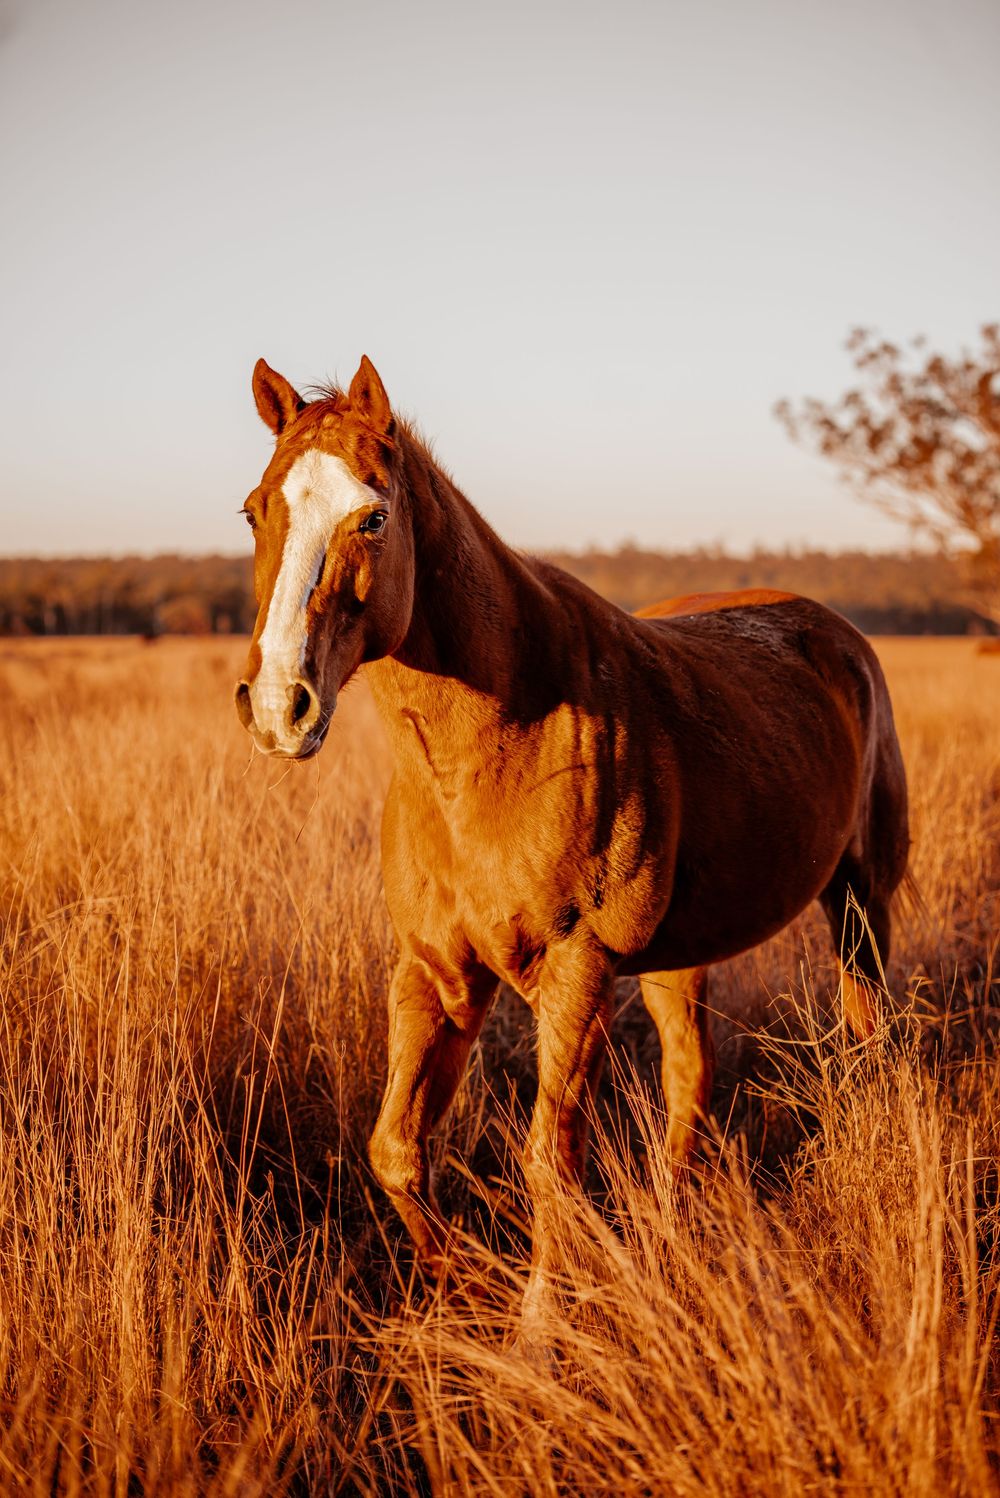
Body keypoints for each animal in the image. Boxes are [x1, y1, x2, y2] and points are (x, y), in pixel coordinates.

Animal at [235, 354, 910, 1317]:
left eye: (373, 516)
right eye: (256, 511)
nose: (278, 707)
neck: (496, 746)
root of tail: (835, 633)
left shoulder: (578, 969)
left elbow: (550, 1167)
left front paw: (537, 1328)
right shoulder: (435, 970)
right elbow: (396, 1149)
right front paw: (458, 1288)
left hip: (861, 904)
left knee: (864, 1039)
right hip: (680, 956)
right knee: (689, 1080)